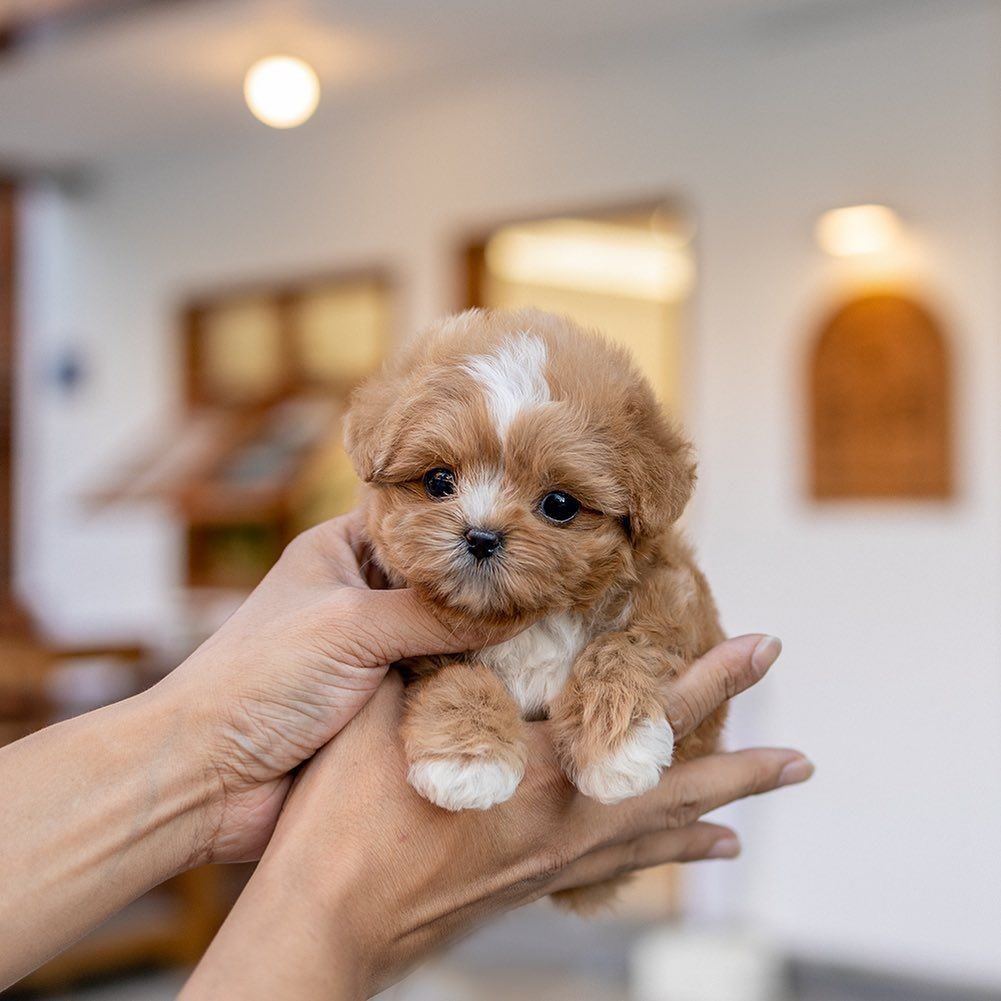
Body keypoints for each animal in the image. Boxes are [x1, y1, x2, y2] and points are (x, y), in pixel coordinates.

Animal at [344, 308, 720, 912]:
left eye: (559, 505)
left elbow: (624, 644)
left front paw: (618, 748)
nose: (480, 535)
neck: (530, 619)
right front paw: (468, 762)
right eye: (438, 481)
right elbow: (456, 677)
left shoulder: (677, 601)